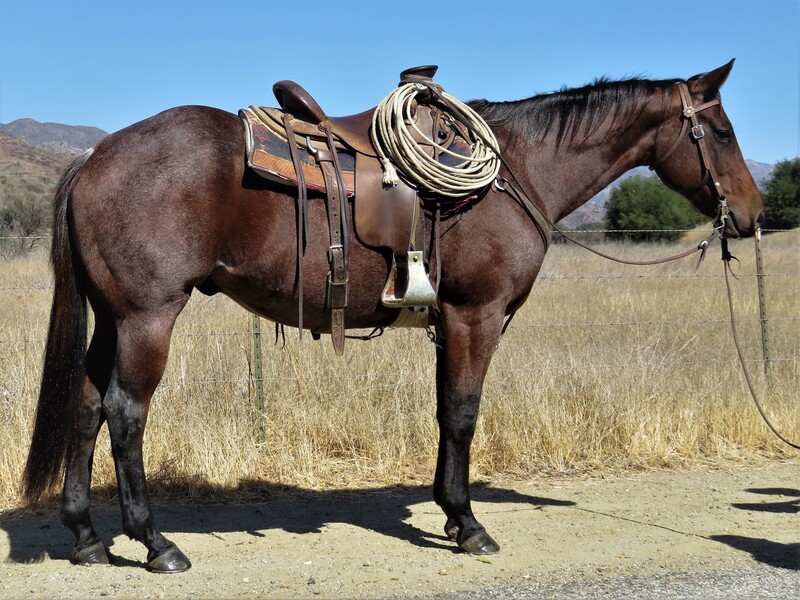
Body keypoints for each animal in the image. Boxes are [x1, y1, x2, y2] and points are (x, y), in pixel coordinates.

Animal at [22, 60, 763, 572]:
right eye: (723, 131)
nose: (753, 214)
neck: (517, 170)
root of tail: (94, 155)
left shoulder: (448, 322)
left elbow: (444, 412)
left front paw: (450, 514)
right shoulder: (476, 316)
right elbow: (463, 413)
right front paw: (470, 525)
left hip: (113, 317)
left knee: (85, 405)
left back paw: (86, 537)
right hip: (147, 318)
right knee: (125, 414)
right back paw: (155, 543)